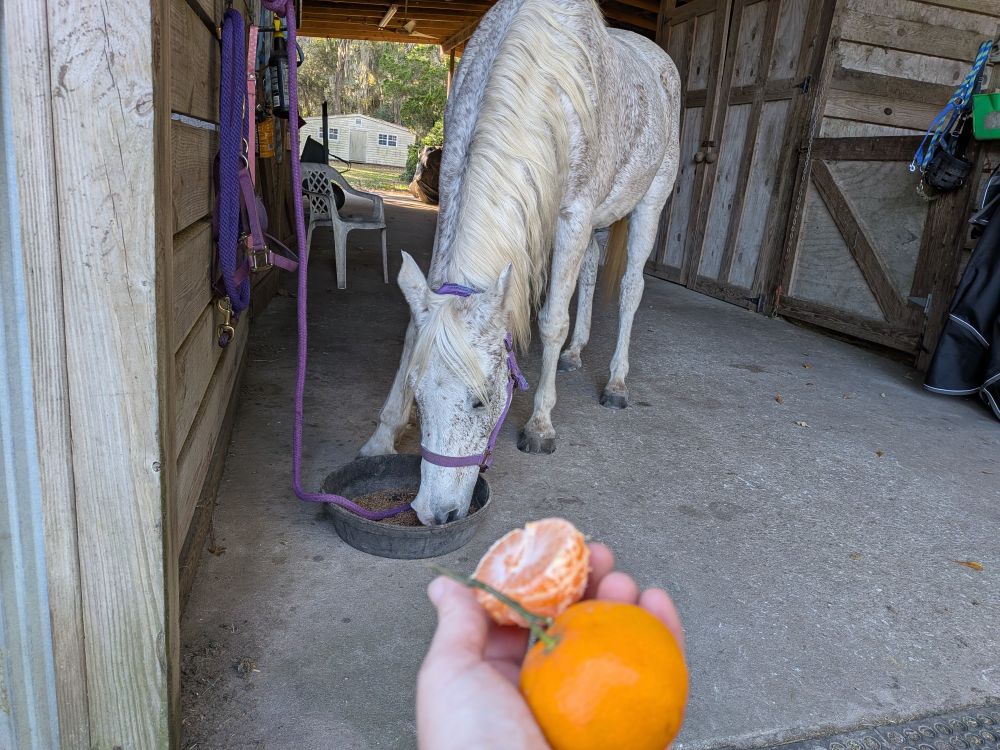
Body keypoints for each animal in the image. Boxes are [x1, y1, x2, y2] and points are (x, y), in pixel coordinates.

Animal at [359, 0, 681, 525]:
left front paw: (541, 426)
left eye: (481, 401)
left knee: (631, 289)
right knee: (590, 272)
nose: (434, 513)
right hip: (599, 223)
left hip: (648, 203)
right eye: (418, 395)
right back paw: (575, 354)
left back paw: (616, 383)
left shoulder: (573, 216)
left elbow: (551, 321)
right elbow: (413, 330)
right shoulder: (454, 198)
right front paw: (382, 436)